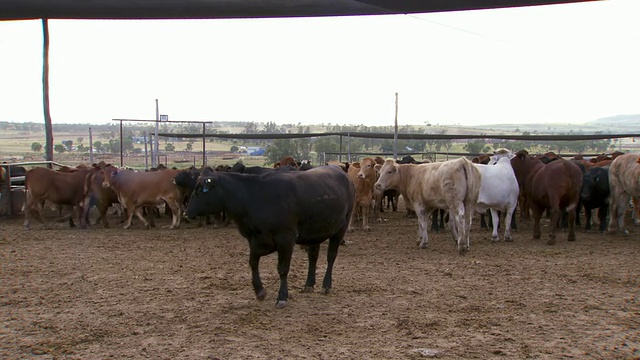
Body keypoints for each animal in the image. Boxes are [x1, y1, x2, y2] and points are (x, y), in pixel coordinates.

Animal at [185, 165, 356, 308]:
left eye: (200, 189)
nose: (186, 213)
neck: (253, 197)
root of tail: (339, 170)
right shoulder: (256, 240)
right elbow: (253, 263)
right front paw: (260, 291)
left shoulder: (286, 238)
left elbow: (283, 269)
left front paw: (282, 297)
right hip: (314, 232)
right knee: (313, 256)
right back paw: (309, 284)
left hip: (341, 227)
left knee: (331, 256)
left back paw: (326, 285)